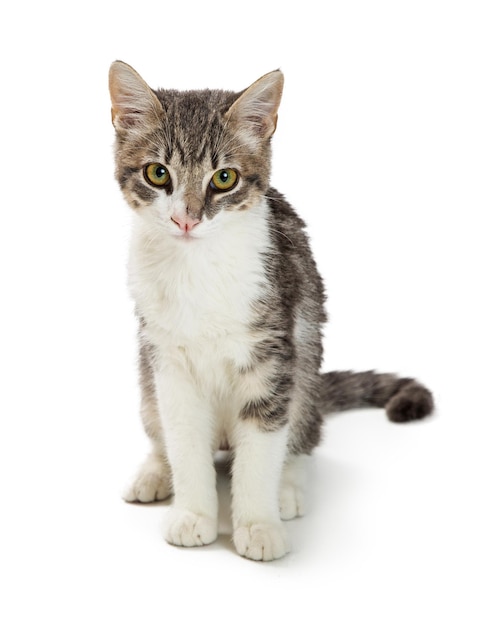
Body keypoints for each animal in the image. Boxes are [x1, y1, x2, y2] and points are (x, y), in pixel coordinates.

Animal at [109, 62, 434, 560]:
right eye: (157, 173)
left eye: (224, 178)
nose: (186, 218)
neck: (196, 266)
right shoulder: (167, 361)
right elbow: (183, 435)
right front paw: (193, 514)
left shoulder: (274, 346)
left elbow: (263, 443)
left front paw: (258, 524)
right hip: (147, 381)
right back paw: (155, 472)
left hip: (306, 362)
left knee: (300, 431)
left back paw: (288, 487)